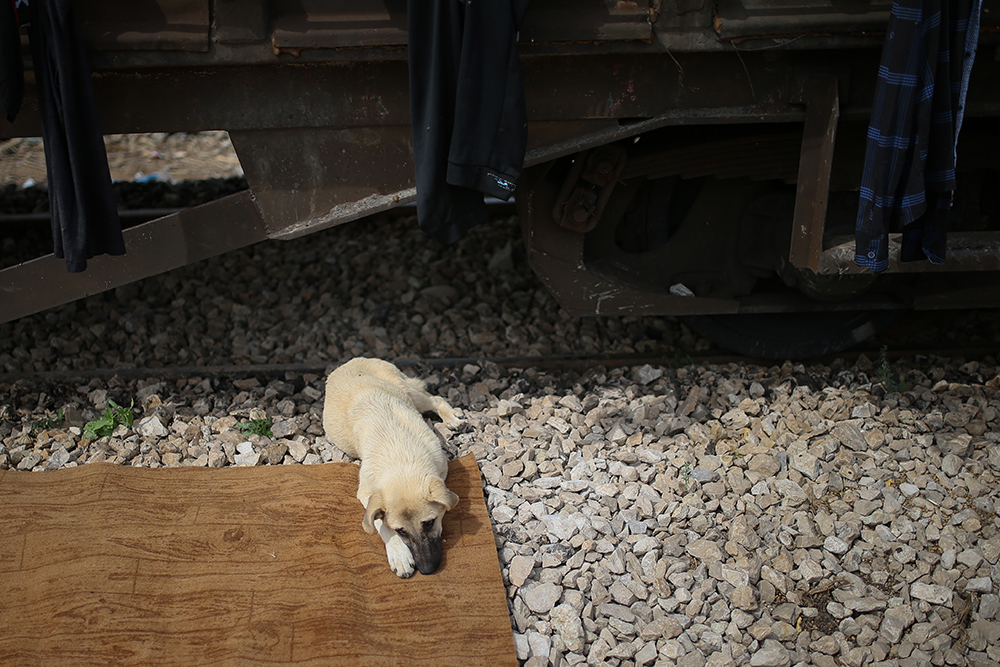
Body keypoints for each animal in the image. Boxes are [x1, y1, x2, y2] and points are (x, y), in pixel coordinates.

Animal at [322, 358, 462, 576]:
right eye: (401, 531)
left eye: (430, 523)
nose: (427, 570)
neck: (400, 453)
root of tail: (353, 360)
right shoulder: (367, 493)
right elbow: (380, 522)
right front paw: (399, 555)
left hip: (409, 391)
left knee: (436, 399)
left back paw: (451, 418)